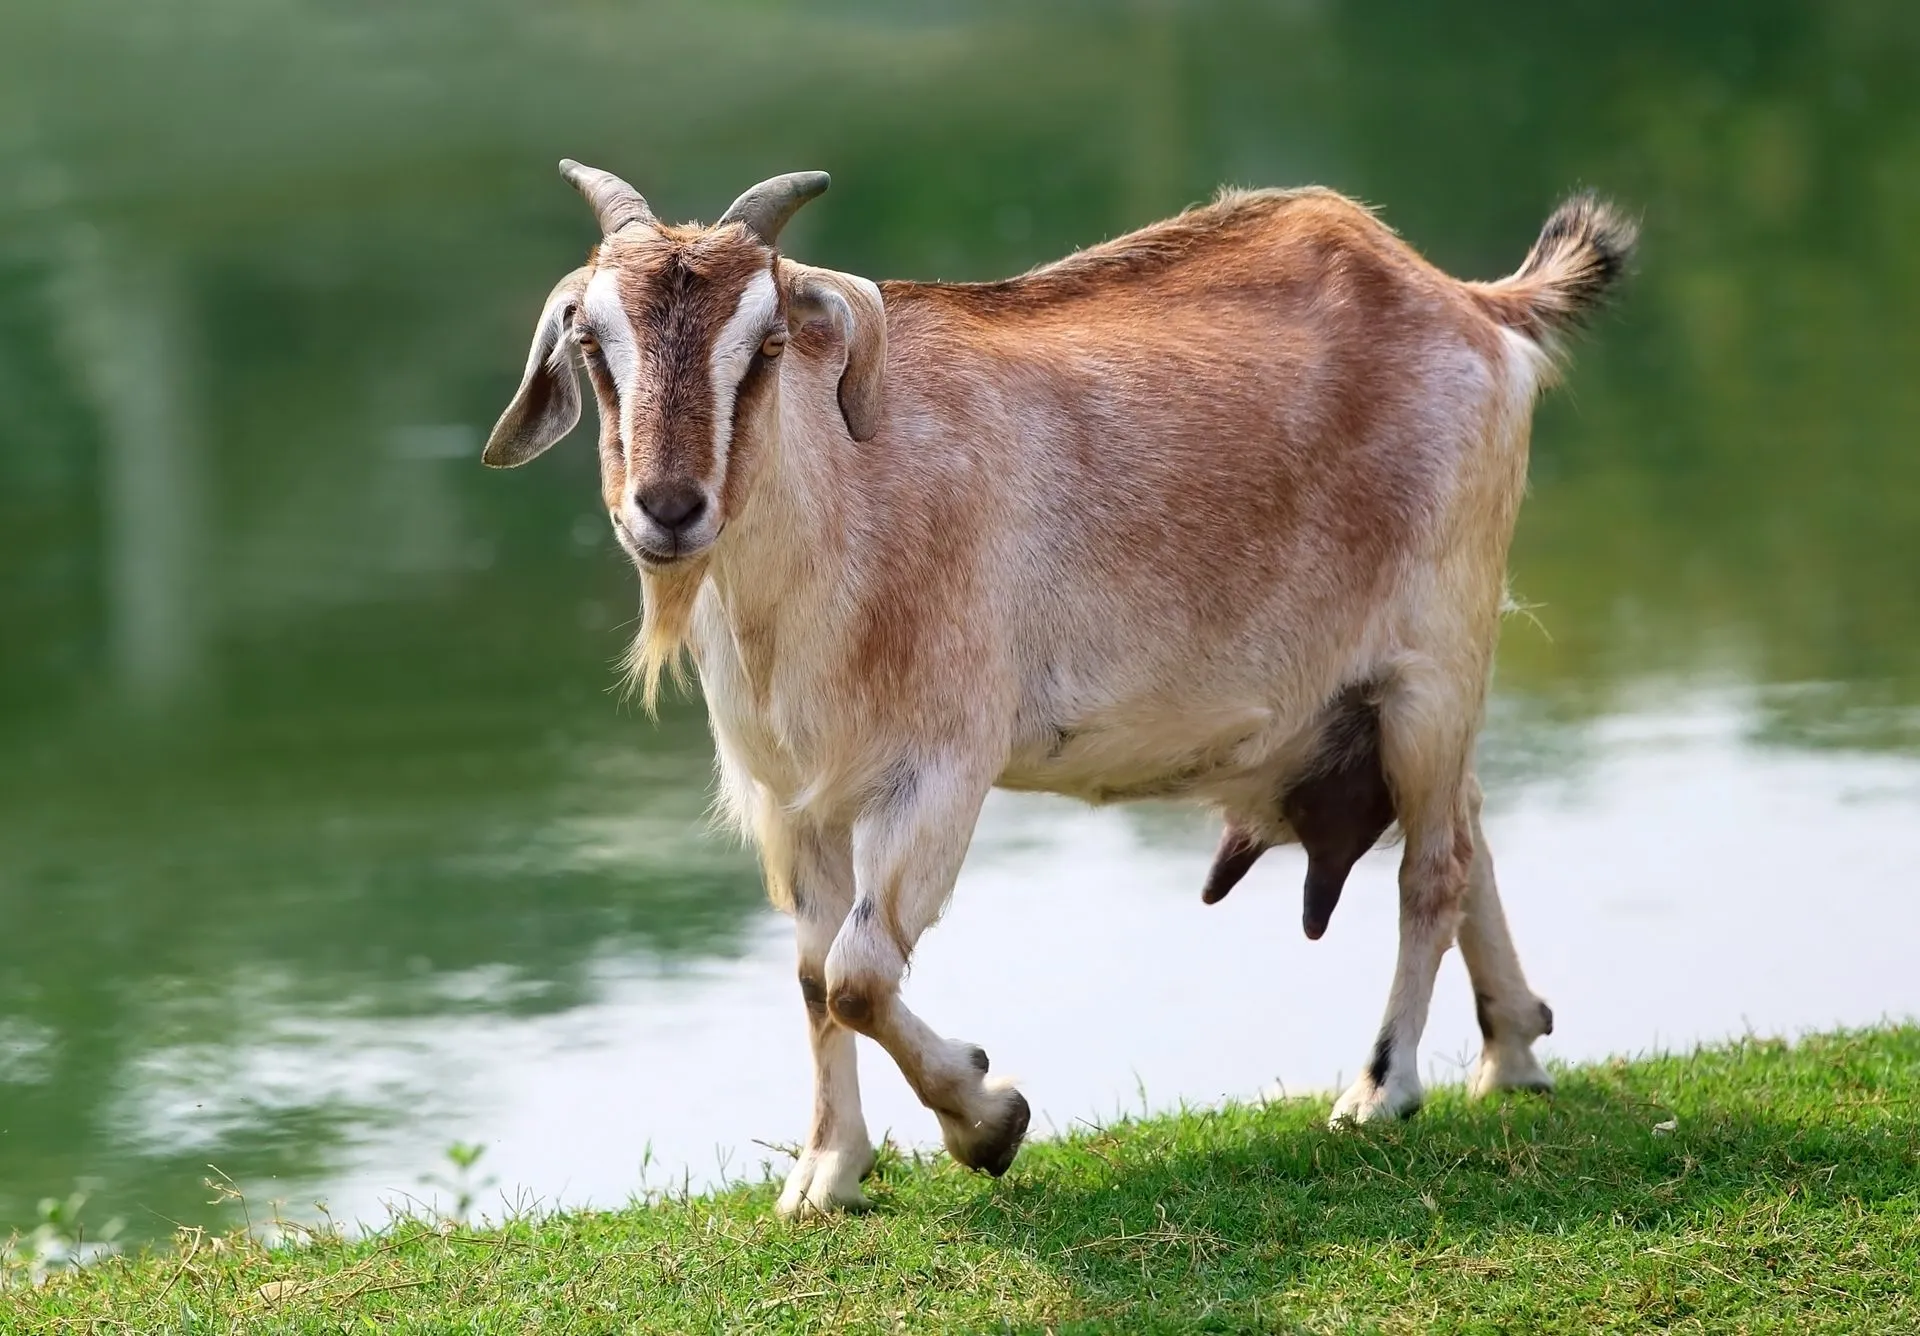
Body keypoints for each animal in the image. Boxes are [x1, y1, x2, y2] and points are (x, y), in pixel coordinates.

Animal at [482, 161, 1635, 1216]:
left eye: (766, 344)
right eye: (593, 343)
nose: (668, 508)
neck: (844, 520)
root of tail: (1474, 307)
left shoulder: (940, 766)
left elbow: (860, 972)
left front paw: (989, 1119)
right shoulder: (789, 796)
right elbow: (815, 979)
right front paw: (828, 1174)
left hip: (1436, 658)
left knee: (1435, 867)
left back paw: (1381, 1089)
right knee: (1470, 832)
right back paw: (1511, 1055)